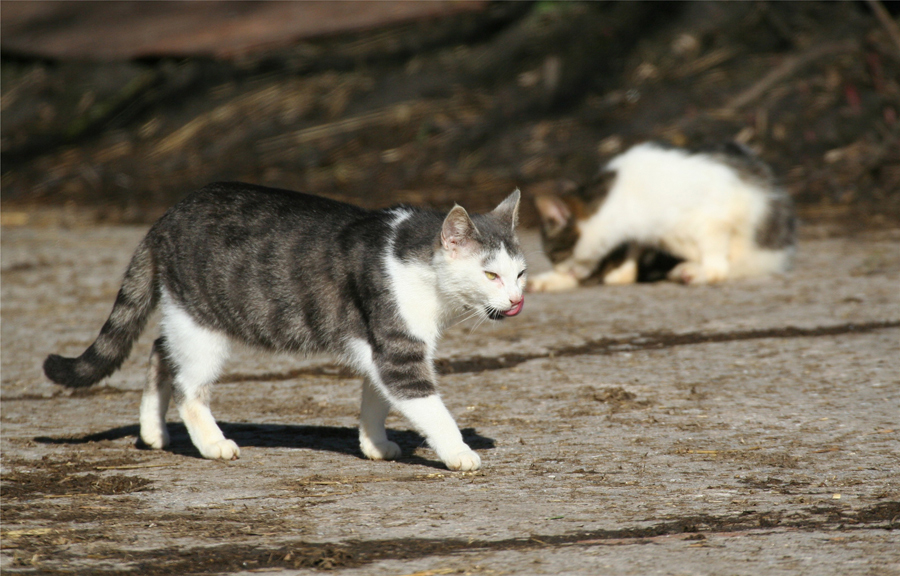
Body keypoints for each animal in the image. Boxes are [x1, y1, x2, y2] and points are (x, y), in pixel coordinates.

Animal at [44, 184, 528, 472]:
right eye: (490, 275)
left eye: (520, 273)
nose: (517, 300)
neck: (421, 266)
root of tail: (167, 215)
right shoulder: (398, 350)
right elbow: (430, 408)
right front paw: (459, 452)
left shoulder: (378, 347)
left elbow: (376, 399)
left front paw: (374, 444)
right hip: (203, 327)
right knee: (187, 389)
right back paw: (212, 442)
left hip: (186, 315)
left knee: (160, 352)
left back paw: (152, 432)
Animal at [532, 142, 800, 290]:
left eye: (555, 254)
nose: (562, 270)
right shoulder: (641, 233)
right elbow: (633, 251)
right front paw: (622, 273)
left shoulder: (716, 216)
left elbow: (716, 265)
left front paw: (705, 272)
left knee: (736, 265)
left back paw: (692, 271)